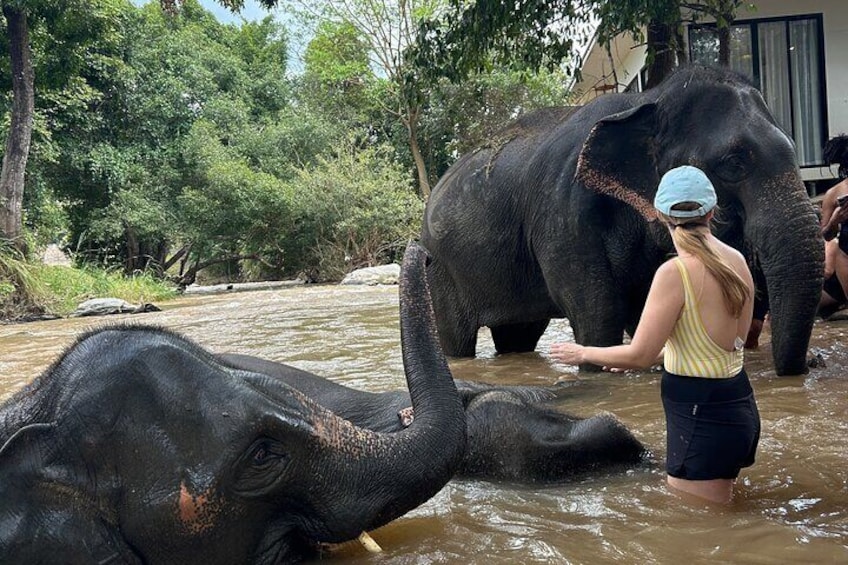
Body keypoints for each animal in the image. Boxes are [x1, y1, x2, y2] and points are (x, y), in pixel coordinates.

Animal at [422, 65, 820, 374]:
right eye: (734, 164)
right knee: (457, 338)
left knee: (518, 335)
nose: (811, 363)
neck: (646, 101)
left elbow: (646, 311)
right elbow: (597, 317)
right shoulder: (562, 216)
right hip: (441, 270)